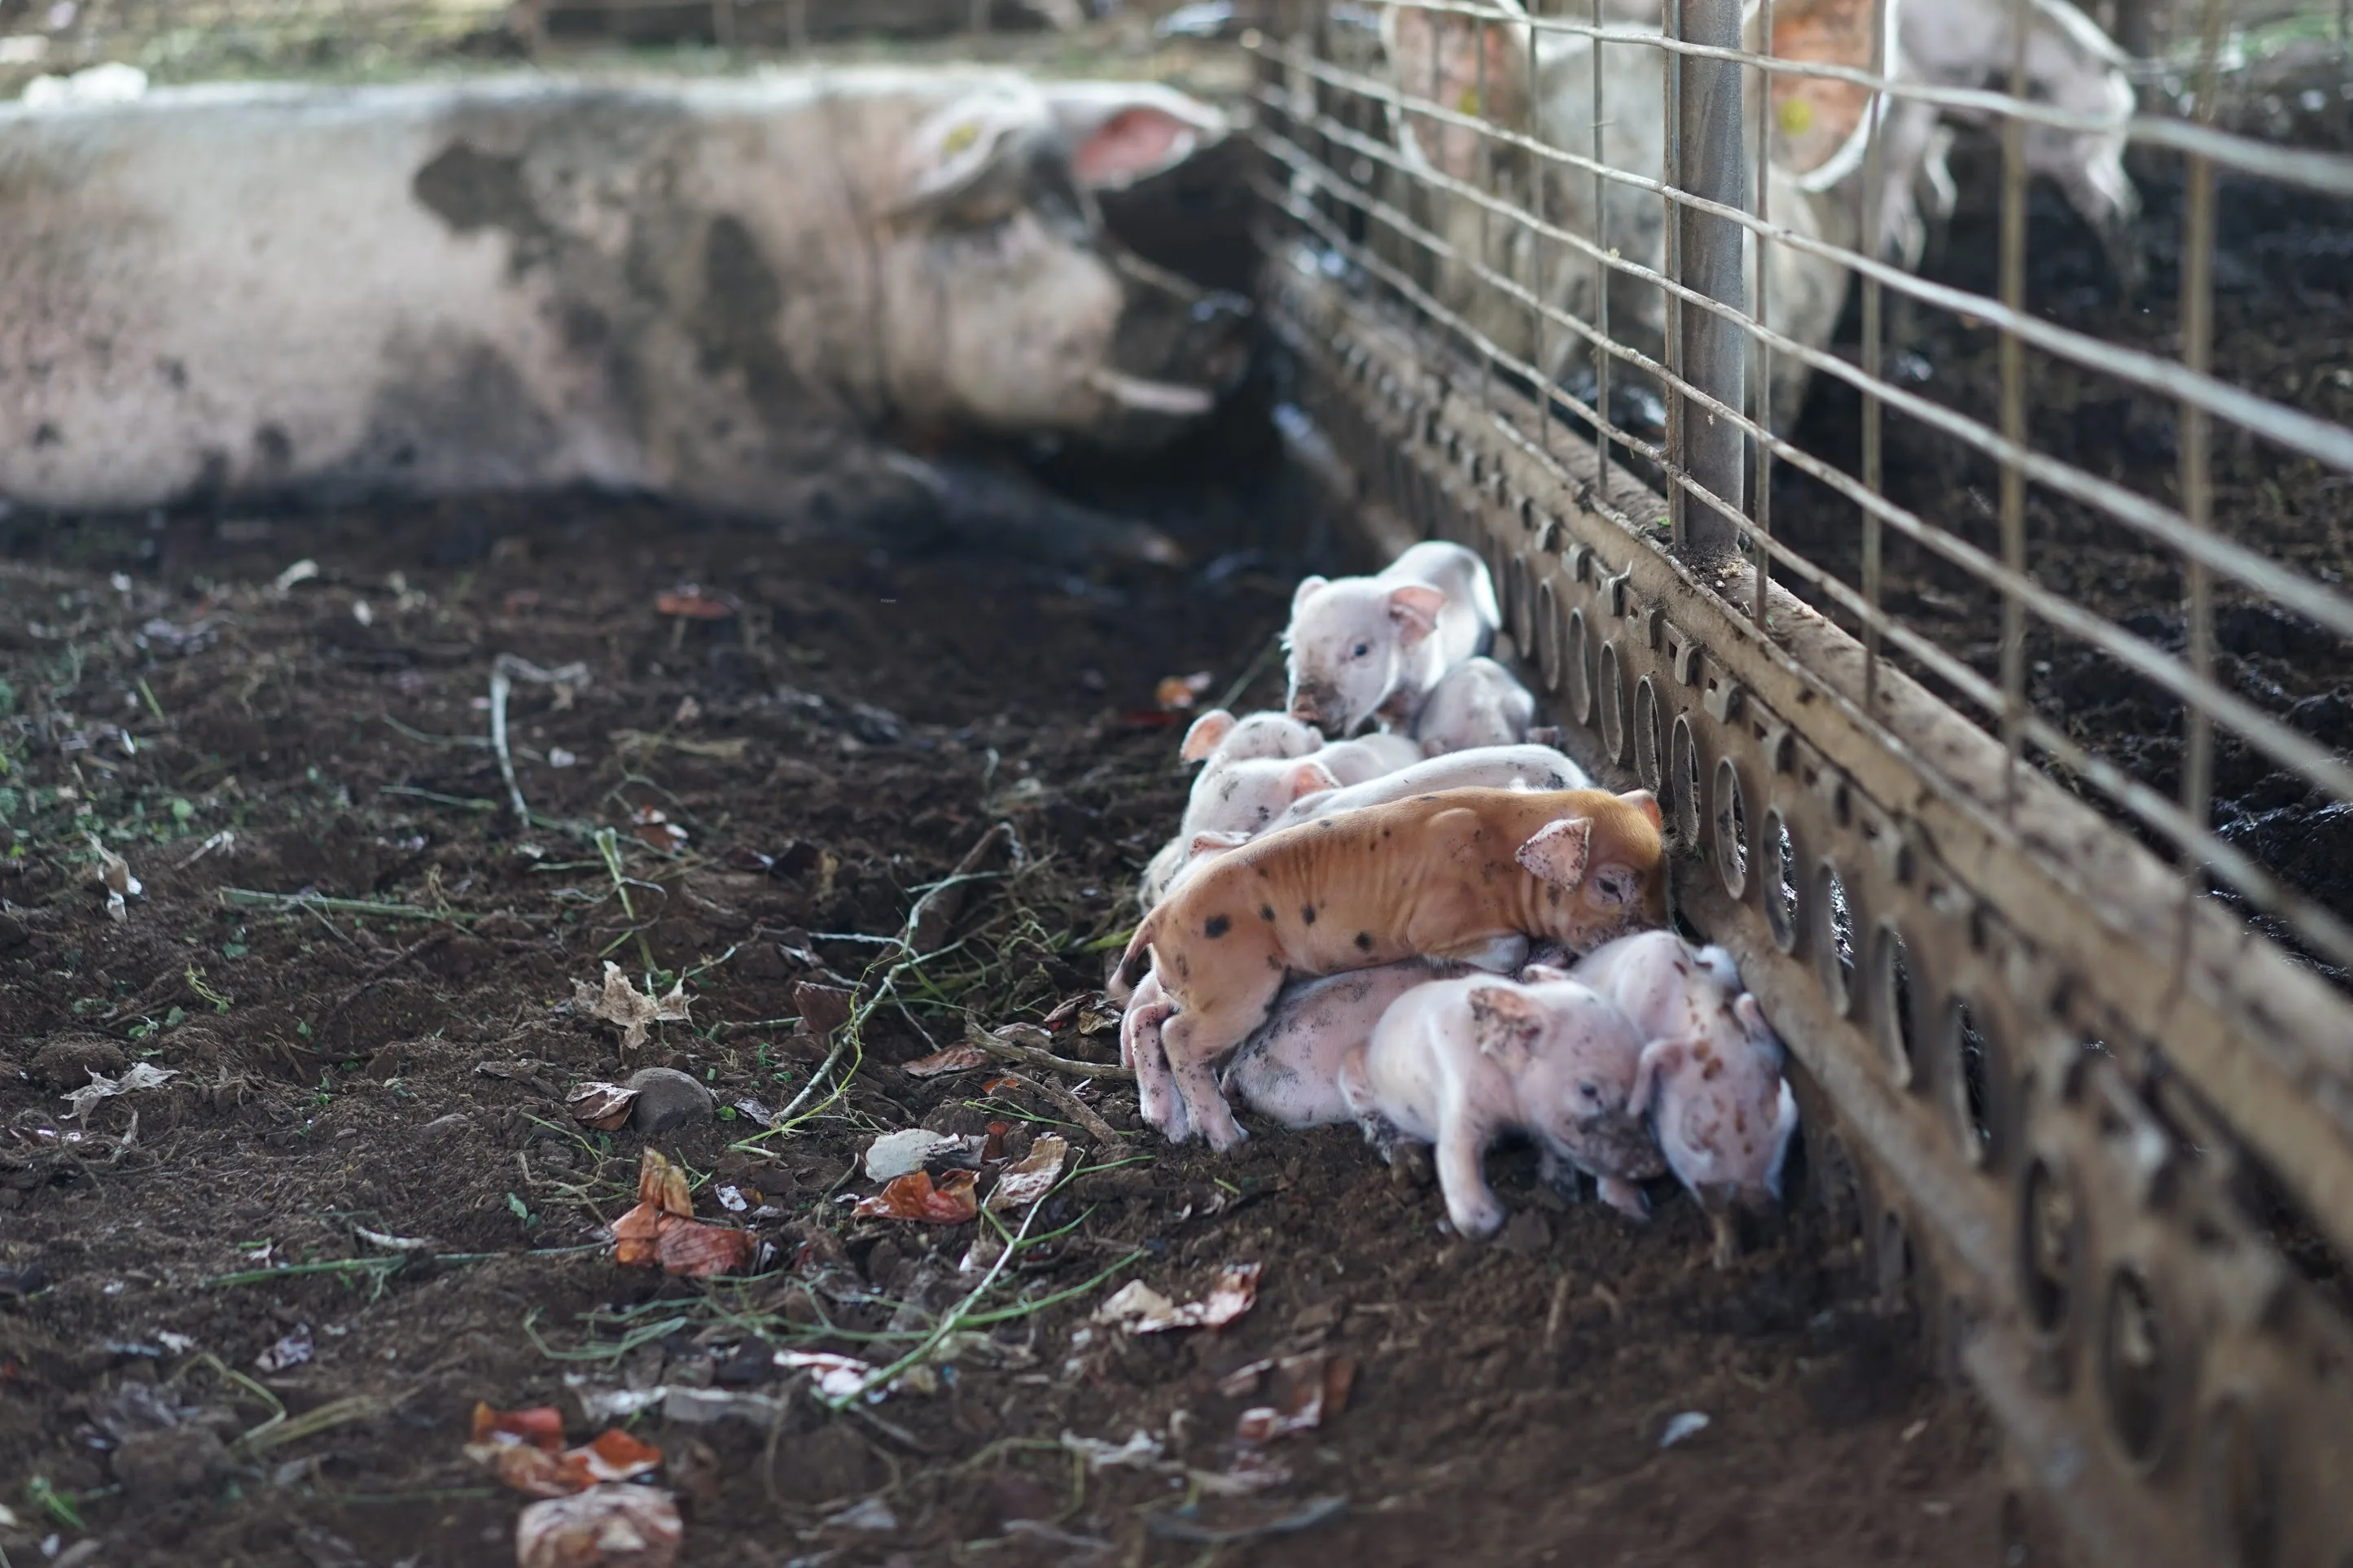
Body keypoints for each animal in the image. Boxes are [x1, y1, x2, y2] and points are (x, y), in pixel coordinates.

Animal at [0, 72, 1248, 531]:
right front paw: (1149, 548)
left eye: (1083, 207)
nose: (1220, 319)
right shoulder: (712, 416)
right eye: (994, 226)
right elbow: (938, 495)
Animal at [1112, 785, 1668, 1149]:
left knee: (1149, 1021)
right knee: (1179, 1038)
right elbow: (1500, 951)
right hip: (1239, 990)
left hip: (1197, 990)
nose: (1662, 932)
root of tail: (1157, 919)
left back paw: (1171, 1127)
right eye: (1609, 885)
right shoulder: (1439, 925)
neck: (1506, 863)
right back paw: (1230, 1140)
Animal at [1337, 972, 1668, 1237]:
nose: (1658, 1167)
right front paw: (1490, 1222)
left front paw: (1631, 1210)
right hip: (1355, 1080)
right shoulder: (1459, 1097)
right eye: (1588, 1090)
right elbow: (1453, 1157)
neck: (1515, 1113)